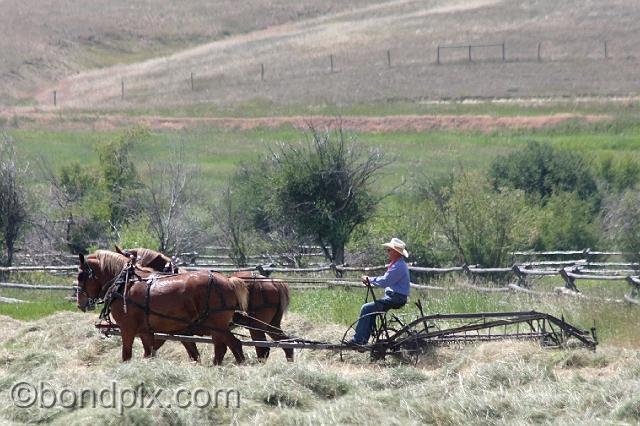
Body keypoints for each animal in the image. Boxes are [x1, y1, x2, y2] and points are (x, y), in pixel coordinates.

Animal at [77, 250, 250, 362]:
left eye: (80, 275)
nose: (80, 303)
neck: (126, 283)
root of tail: (229, 281)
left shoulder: (127, 329)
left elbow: (126, 356)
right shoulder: (145, 331)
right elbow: (149, 354)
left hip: (216, 325)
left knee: (231, 346)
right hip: (217, 327)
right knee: (227, 346)